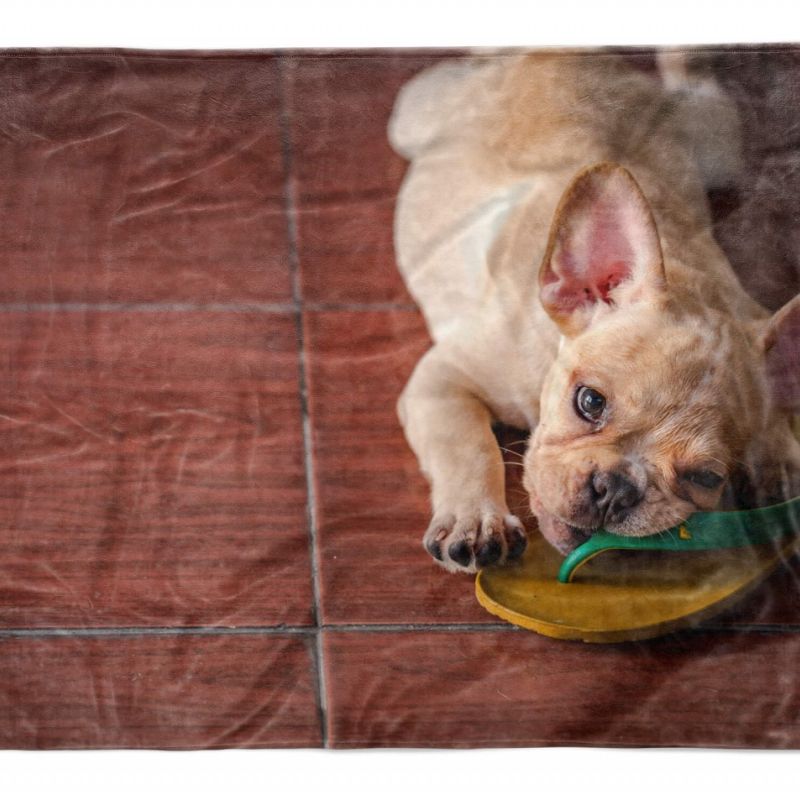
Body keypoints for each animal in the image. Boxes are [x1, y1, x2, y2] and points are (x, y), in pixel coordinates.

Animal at [390, 53, 800, 572]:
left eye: (706, 478)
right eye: (589, 402)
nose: (615, 490)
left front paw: (779, 459)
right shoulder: (443, 379)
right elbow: (467, 444)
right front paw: (476, 519)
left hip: (715, 140)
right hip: (417, 112)